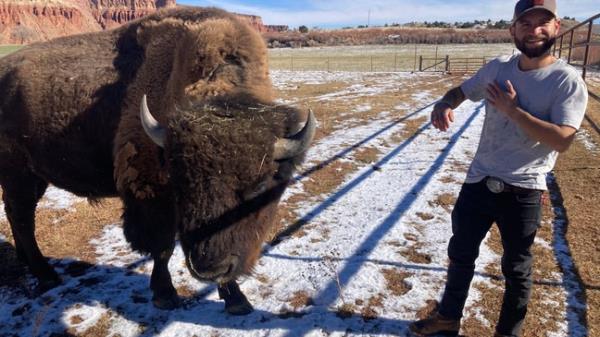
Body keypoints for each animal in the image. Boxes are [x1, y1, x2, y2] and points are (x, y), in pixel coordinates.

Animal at [0, 6, 316, 314]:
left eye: (260, 185)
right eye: (180, 182)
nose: (209, 268)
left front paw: (236, 299)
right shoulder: (151, 192)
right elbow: (162, 247)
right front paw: (165, 295)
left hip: (33, 177)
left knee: (17, 216)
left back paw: (28, 263)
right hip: (18, 174)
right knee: (23, 218)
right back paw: (46, 275)